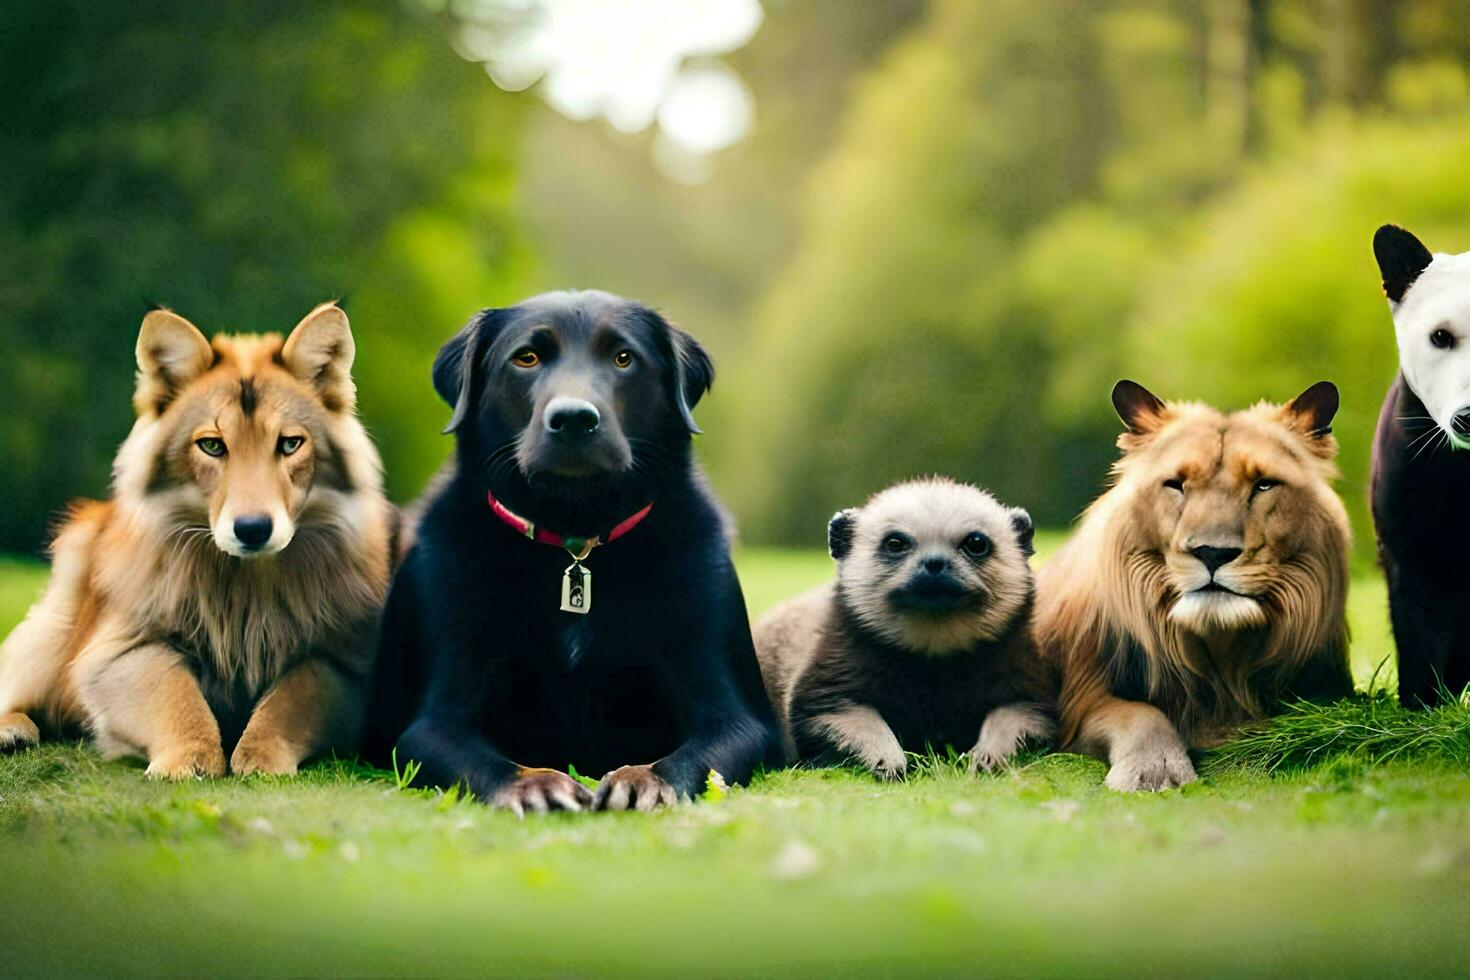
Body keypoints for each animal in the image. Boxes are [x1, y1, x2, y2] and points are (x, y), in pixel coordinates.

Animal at [0, 302, 396, 775]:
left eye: (290, 444)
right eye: (211, 445)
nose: (253, 528)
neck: (245, 585)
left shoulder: (343, 661)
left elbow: (292, 696)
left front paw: (261, 754)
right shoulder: (120, 650)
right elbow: (173, 693)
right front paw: (189, 757)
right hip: (51, 631)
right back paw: (13, 729)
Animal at [367, 289, 782, 811]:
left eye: (624, 358)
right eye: (526, 357)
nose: (573, 419)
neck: (575, 538)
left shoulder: (735, 713)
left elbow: (692, 756)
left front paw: (643, 778)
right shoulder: (434, 721)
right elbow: (487, 759)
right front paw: (535, 783)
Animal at [752, 476, 1052, 781]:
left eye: (976, 543)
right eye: (895, 543)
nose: (935, 563)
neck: (933, 659)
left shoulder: (1022, 677)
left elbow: (1017, 715)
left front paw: (989, 754)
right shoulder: (831, 678)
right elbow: (846, 716)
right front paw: (887, 758)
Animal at [1034, 379, 1352, 793]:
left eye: (1264, 484)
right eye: (1176, 485)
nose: (1212, 553)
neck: (1219, 654)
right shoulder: (1082, 698)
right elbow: (1140, 715)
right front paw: (1155, 771)